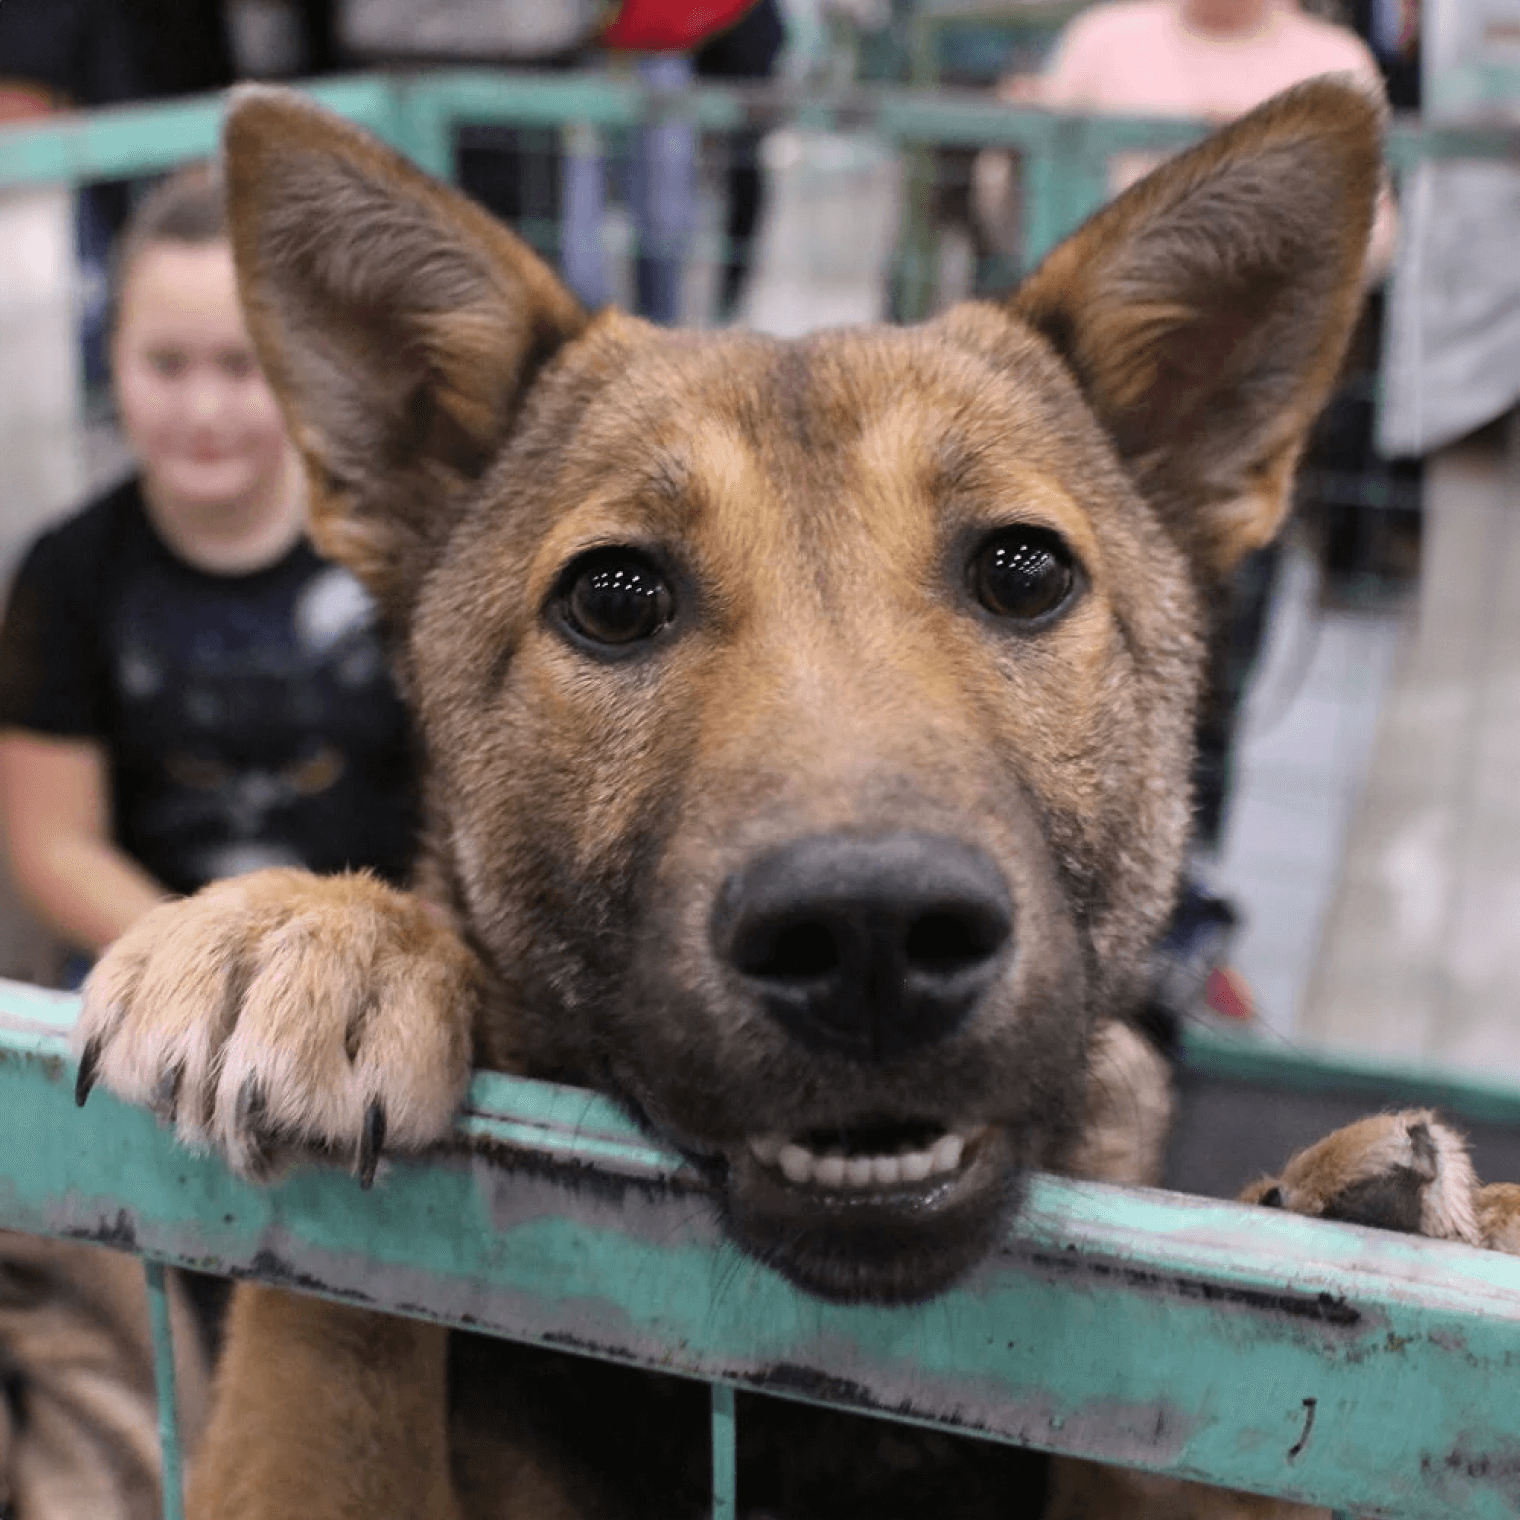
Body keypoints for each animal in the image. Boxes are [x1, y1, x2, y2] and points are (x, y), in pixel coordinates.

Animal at [62, 74, 1520, 1520]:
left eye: (1025, 571)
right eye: (613, 597)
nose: (870, 937)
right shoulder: (282, 1455)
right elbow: (327, 1320)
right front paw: (320, 934)